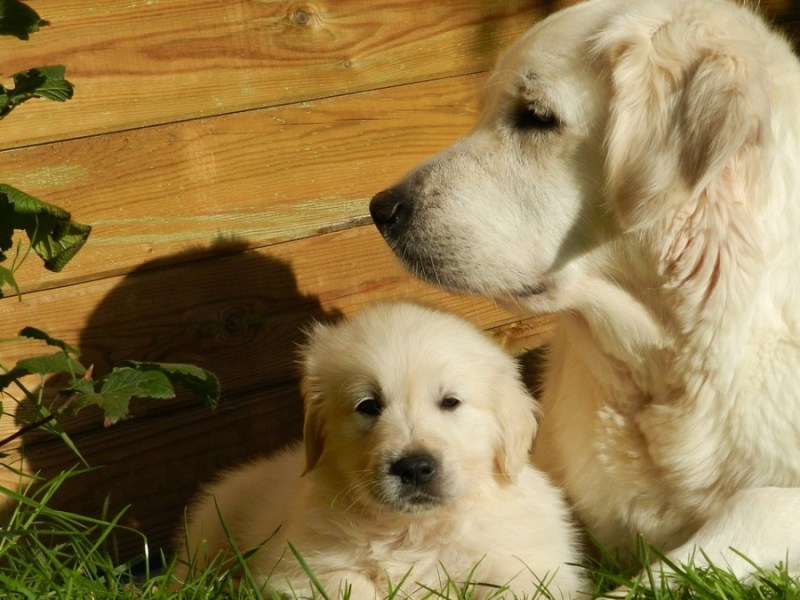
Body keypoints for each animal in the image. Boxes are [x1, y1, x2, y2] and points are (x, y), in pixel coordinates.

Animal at [177, 304, 588, 600]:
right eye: (369, 406)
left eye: (450, 402)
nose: (415, 468)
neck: (413, 530)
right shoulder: (304, 568)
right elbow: (350, 587)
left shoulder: (530, 566)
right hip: (211, 522)